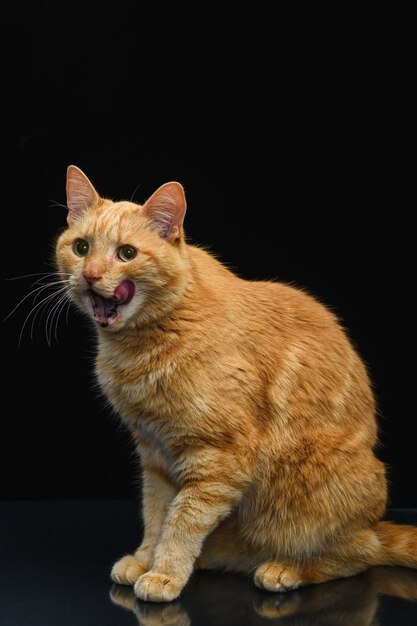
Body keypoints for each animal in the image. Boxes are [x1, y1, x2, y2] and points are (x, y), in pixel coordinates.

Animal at [56, 165, 416, 600]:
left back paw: (286, 569)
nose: (90, 275)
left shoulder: (221, 457)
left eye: (126, 253)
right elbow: (156, 515)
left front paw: (165, 573)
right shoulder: (155, 456)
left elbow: (183, 520)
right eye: (81, 247)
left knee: (357, 554)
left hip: (311, 493)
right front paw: (146, 559)